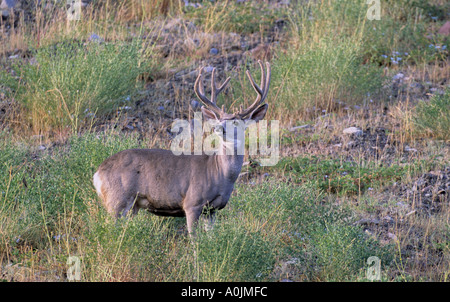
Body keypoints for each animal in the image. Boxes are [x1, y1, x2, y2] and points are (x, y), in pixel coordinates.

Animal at [92, 60, 270, 234]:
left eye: (236, 122)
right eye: (219, 120)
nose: (218, 128)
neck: (220, 173)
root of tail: (97, 174)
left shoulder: (212, 210)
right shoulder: (192, 202)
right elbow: (194, 237)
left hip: (132, 205)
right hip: (117, 200)